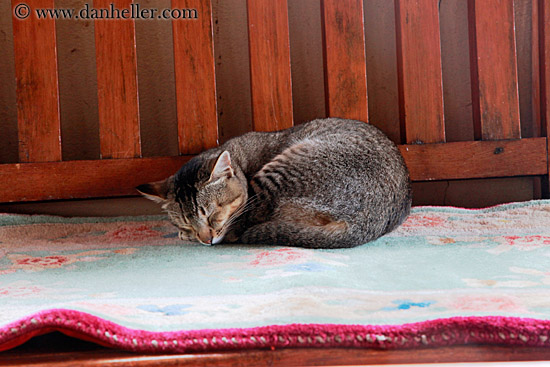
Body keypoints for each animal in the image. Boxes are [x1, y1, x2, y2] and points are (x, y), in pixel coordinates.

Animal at [138, 119, 414, 249]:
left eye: (212, 215)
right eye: (185, 220)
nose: (205, 239)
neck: (239, 157)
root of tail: (365, 223)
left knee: (243, 226)